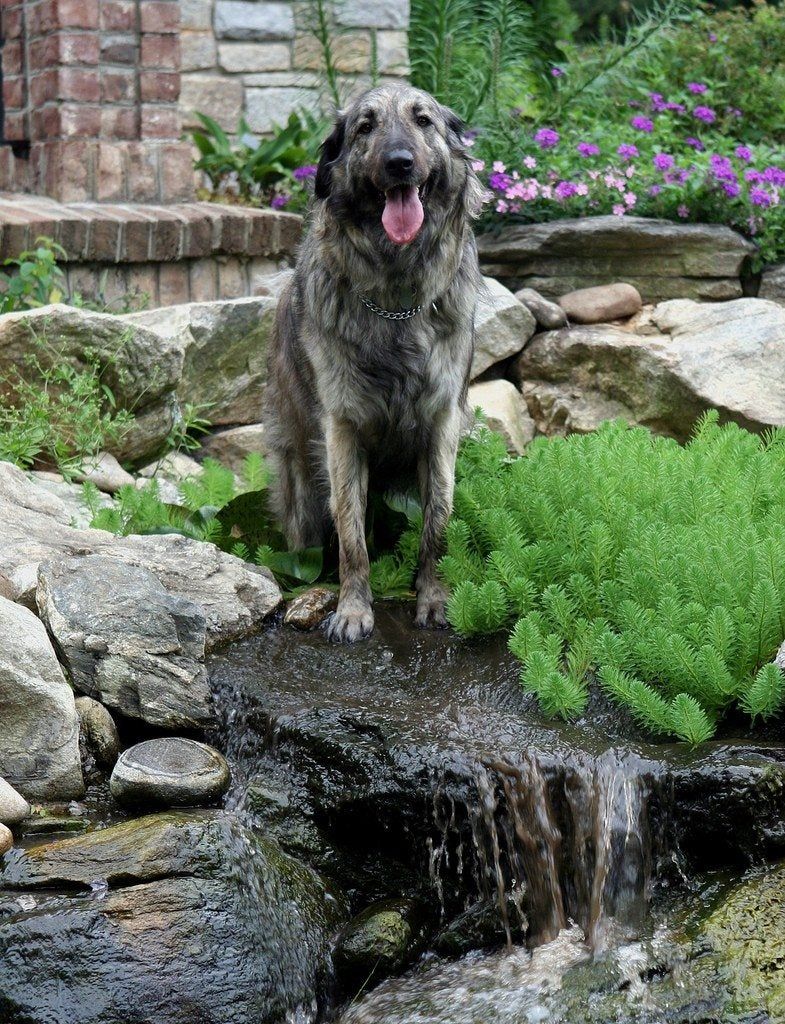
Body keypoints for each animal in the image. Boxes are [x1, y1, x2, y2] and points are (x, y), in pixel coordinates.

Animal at [264, 81, 485, 638]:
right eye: (365, 127)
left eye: (423, 120)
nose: (400, 163)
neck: (395, 296)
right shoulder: (342, 430)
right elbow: (351, 534)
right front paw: (353, 609)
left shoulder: (442, 423)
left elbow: (438, 521)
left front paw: (434, 598)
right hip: (300, 481)